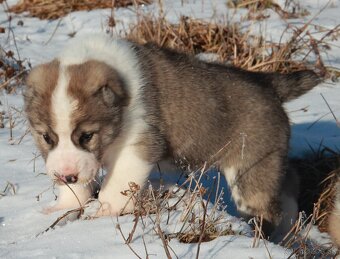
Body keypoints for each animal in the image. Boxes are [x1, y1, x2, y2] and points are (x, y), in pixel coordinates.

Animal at [24, 35, 322, 242]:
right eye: (46, 137)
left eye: (87, 136)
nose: (67, 176)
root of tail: (268, 83)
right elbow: (76, 189)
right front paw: (64, 206)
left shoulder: (138, 145)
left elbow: (116, 184)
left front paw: (105, 211)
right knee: (289, 182)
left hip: (251, 170)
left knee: (266, 206)